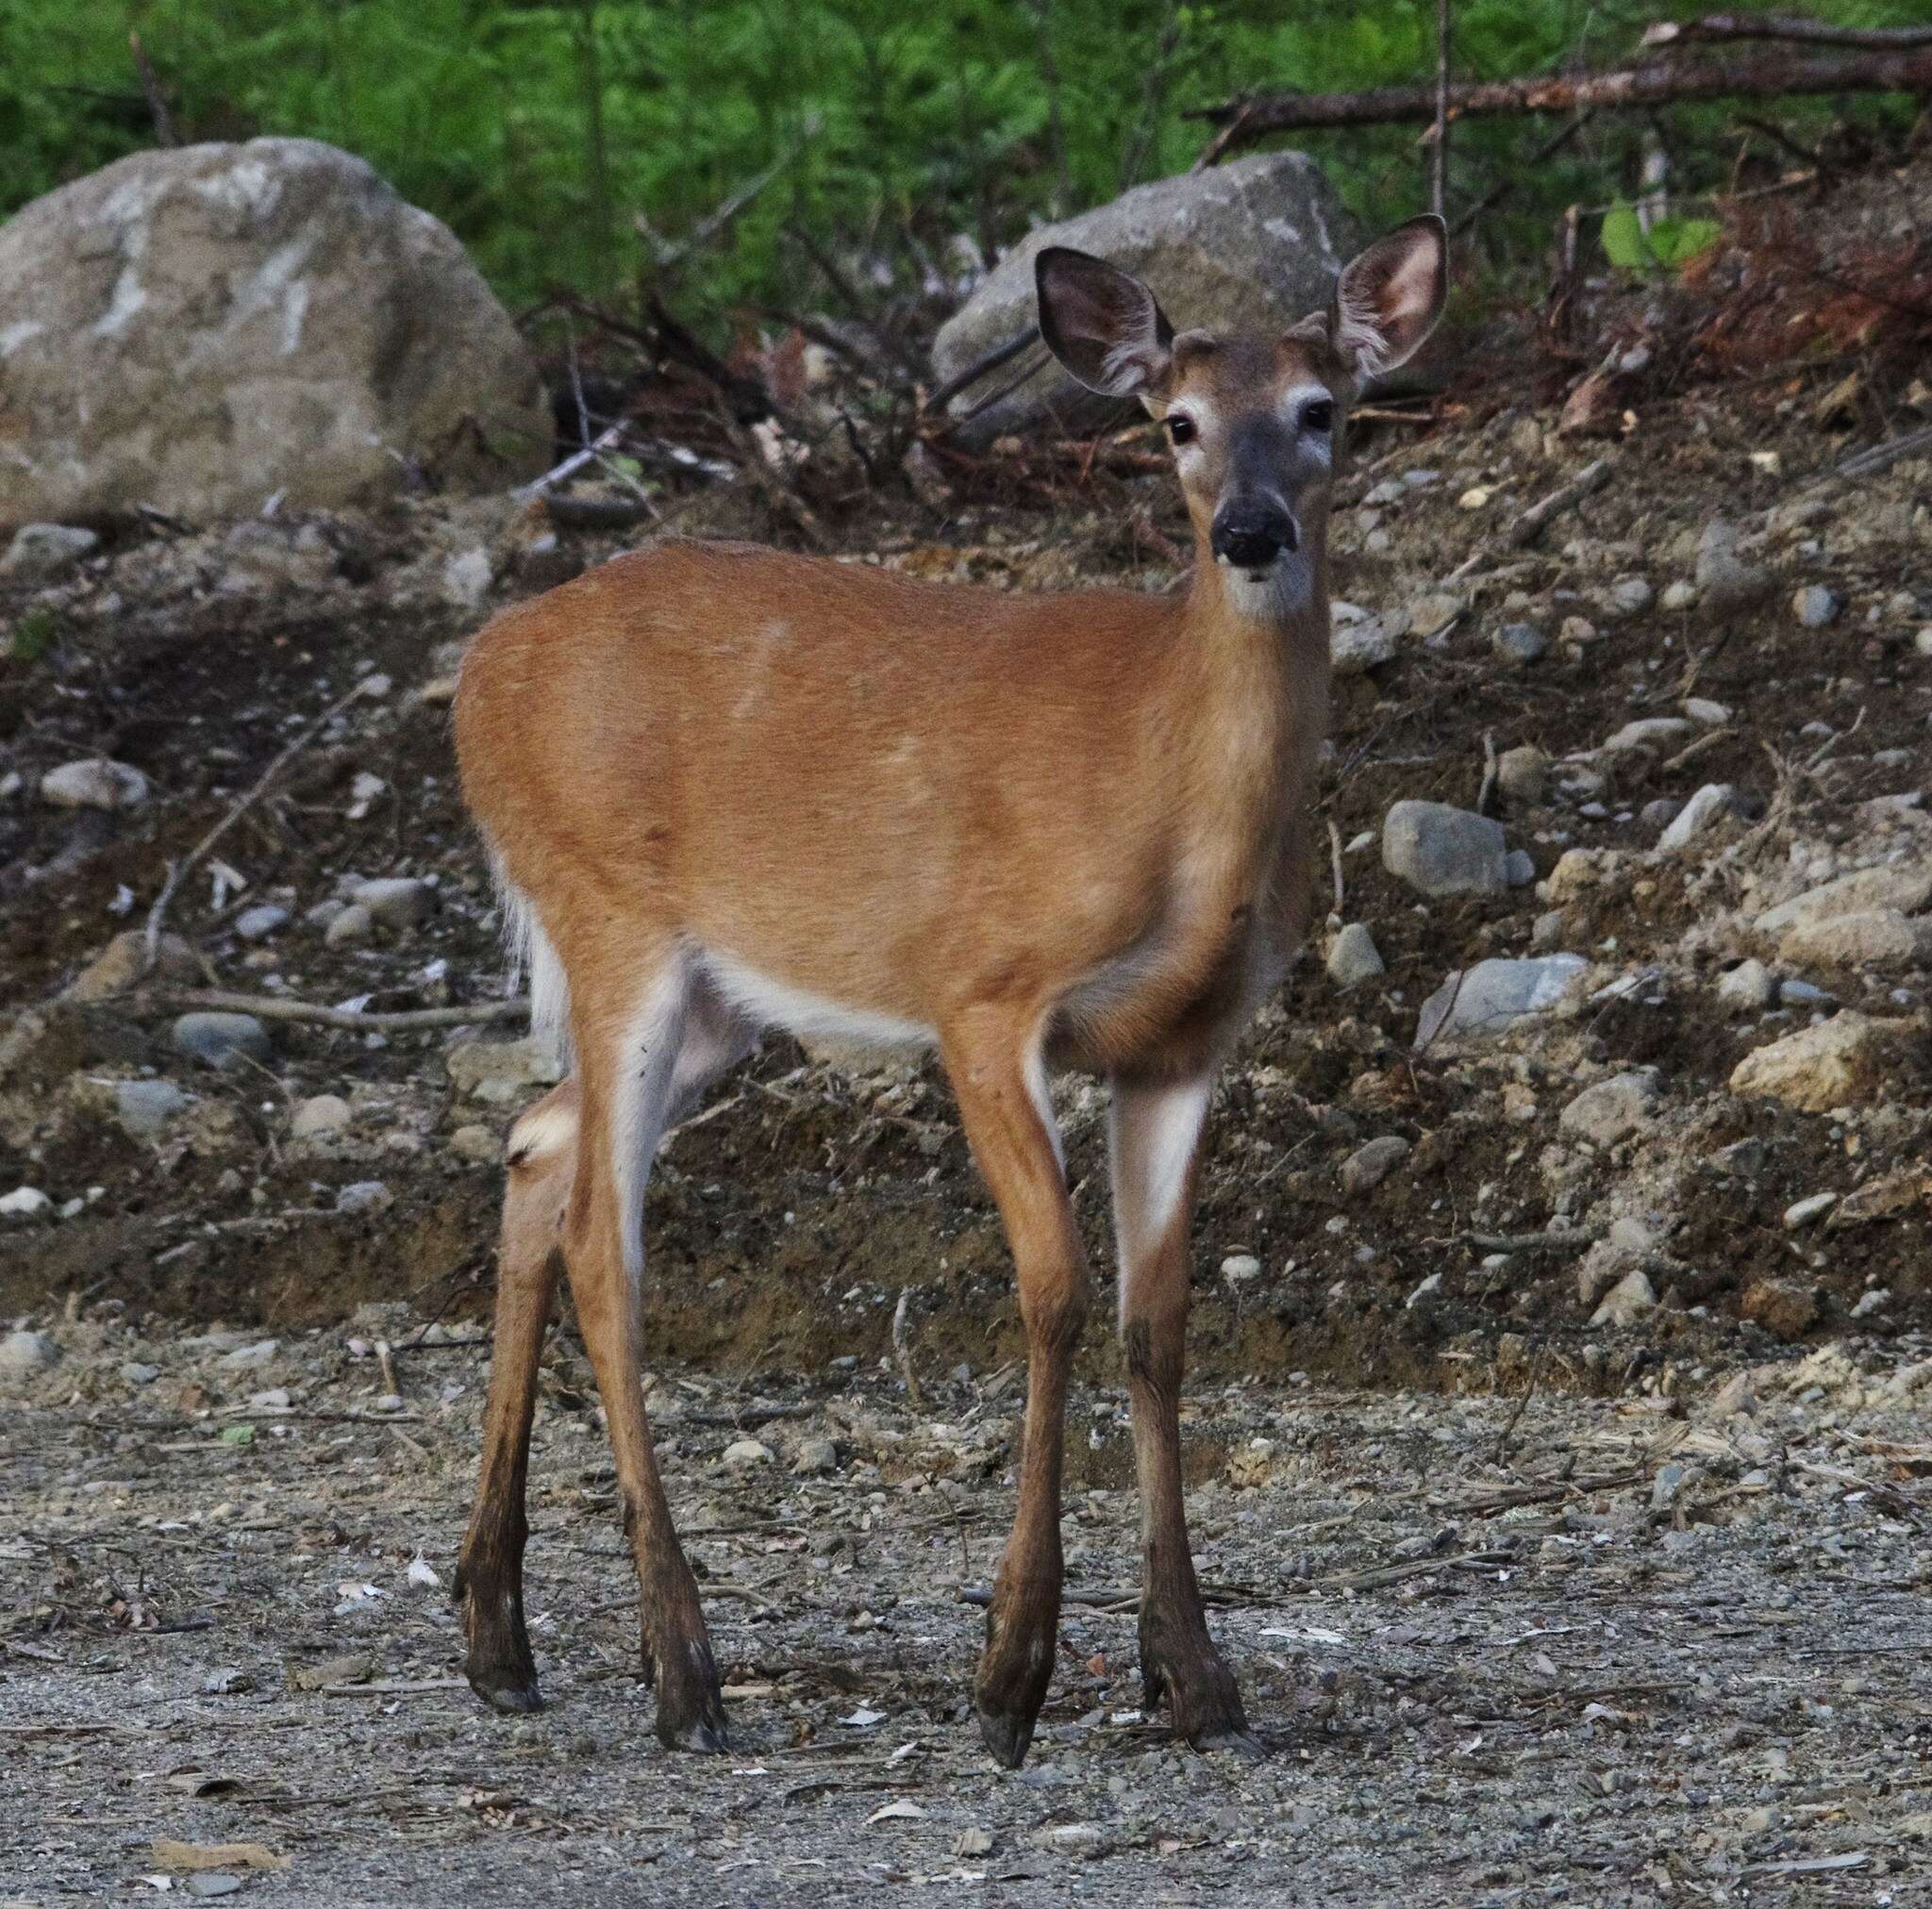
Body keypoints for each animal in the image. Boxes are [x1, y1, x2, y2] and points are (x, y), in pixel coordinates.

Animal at [452, 212, 1444, 1777]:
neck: (1173, 800)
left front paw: (1192, 1674)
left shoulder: (1185, 1042)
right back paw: (684, 1669)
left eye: (1322, 411)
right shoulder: (983, 994)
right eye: (1174, 423)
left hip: (721, 999)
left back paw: (498, 1635)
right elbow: (1053, 1289)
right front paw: (1011, 1674)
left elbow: (1157, 1321)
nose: (1249, 533)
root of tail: (474, 675)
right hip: (609, 914)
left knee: (538, 1147)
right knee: (610, 1244)